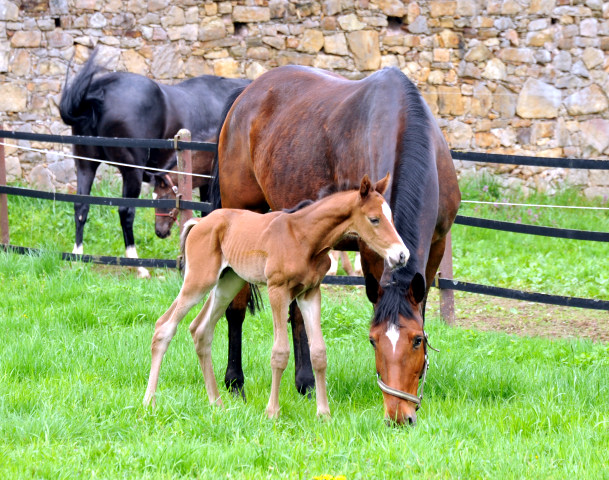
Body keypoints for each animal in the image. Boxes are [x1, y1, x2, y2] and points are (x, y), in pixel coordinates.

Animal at [59, 50, 249, 276]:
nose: (160, 231)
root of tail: (98, 95)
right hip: (131, 172)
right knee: (126, 212)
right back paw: (138, 265)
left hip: (85, 166)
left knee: (81, 206)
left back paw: (77, 257)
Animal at [144, 174, 408, 418]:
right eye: (374, 219)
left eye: (391, 217)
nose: (402, 255)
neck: (304, 237)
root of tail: (199, 222)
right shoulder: (277, 290)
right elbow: (280, 352)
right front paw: (272, 412)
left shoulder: (310, 292)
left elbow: (319, 352)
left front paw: (323, 413)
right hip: (199, 280)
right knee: (164, 326)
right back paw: (149, 402)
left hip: (228, 282)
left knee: (201, 330)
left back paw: (216, 404)